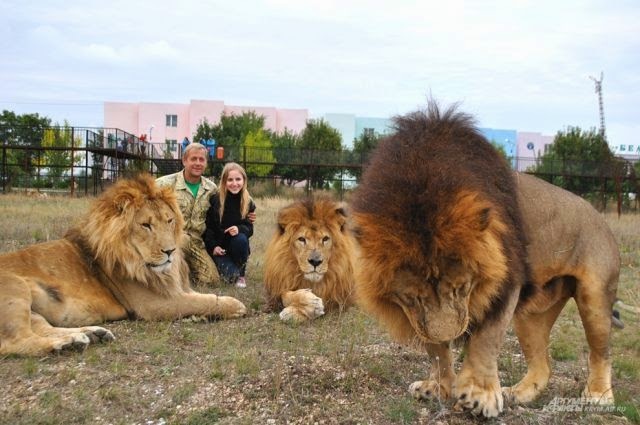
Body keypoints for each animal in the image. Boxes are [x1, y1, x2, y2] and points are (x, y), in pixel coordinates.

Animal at [0, 172, 246, 354]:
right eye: (146, 225)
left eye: (169, 220)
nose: (170, 251)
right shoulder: (153, 304)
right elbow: (202, 301)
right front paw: (235, 305)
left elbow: (199, 296)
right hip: (15, 289)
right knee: (16, 341)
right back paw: (65, 345)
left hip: (32, 309)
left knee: (41, 328)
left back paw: (87, 336)